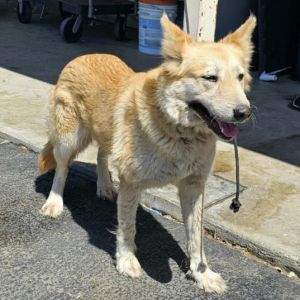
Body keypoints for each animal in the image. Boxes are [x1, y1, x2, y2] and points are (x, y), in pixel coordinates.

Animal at [38, 14, 255, 292]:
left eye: (240, 77)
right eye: (210, 78)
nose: (244, 112)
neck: (178, 129)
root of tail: (84, 55)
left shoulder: (194, 186)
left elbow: (196, 237)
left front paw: (201, 274)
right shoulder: (131, 182)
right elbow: (127, 226)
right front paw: (126, 260)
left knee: (101, 155)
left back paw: (104, 186)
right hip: (68, 138)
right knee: (62, 168)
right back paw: (54, 202)